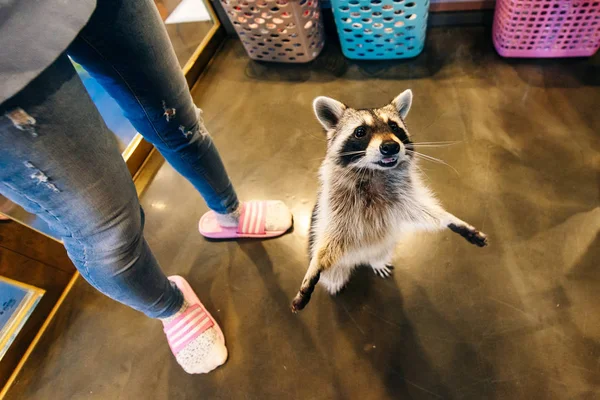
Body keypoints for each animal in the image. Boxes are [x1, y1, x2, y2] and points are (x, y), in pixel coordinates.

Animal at [290, 90, 488, 312]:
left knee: (379, 253)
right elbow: (328, 241)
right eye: (360, 132)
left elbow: (424, 211)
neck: (374, 172)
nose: (391, 147)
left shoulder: (404, 198)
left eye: (394, 127)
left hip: (384, 247)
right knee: (334, 271)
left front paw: (450, 219)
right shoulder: (336, 207)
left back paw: (376, 261)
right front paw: (314, 267)